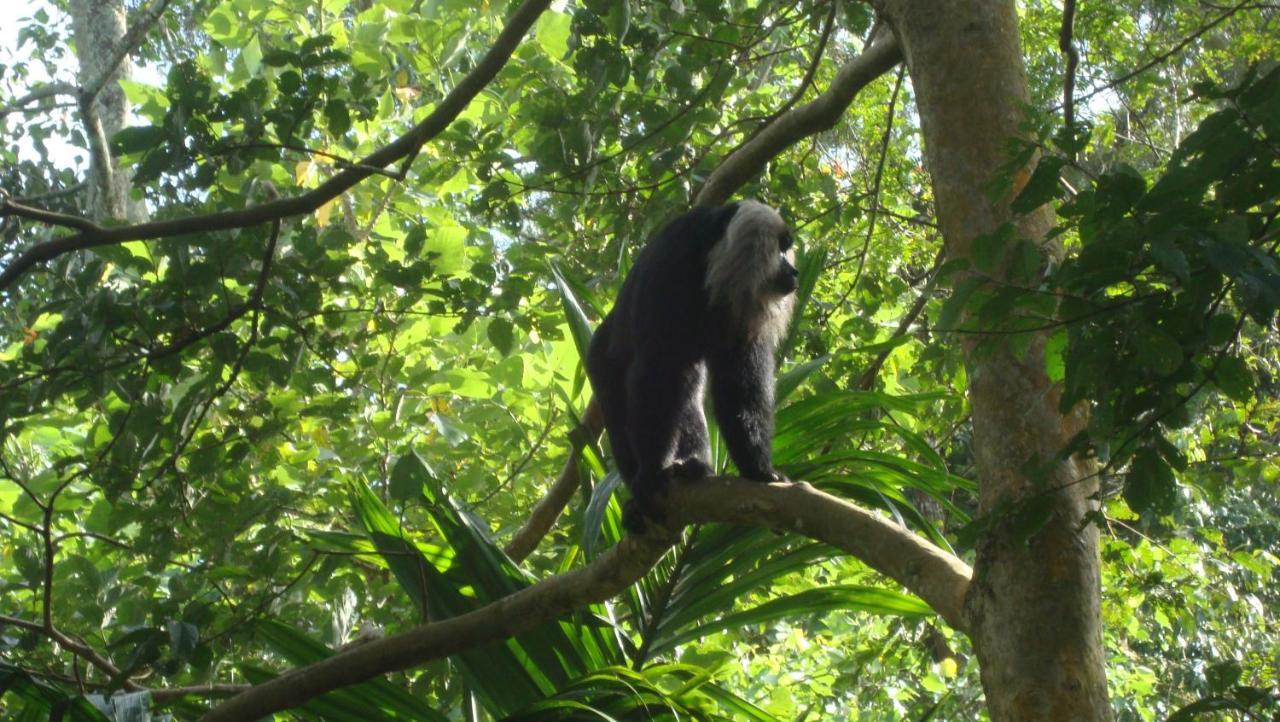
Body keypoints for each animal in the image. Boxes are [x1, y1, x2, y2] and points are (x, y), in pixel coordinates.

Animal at [586, 199, 798, 532]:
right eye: (779, 249)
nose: (795, 271)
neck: (709, 266)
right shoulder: (668, 272)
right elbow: (653, 376)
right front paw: (650, 475)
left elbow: (739, 387)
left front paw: (759, 470)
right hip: (601, 361)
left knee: (687, 394)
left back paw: (693, 467)